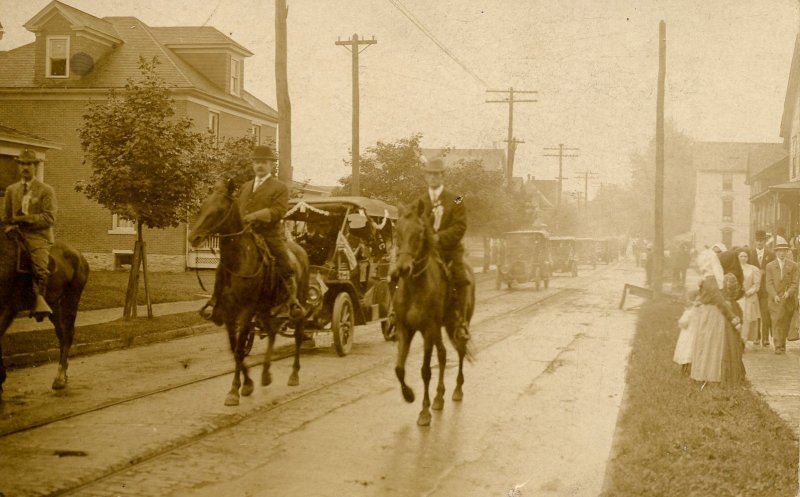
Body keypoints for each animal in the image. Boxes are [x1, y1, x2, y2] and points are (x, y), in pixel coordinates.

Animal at [0, 225, 89, 400]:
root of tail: (79, 255)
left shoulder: (8, 309)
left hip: (71, 299)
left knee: (68, 333)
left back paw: (59, 378)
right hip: (53, 304)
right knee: (62, 334)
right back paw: (63, 374)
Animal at [188, 178, 310, 406]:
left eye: (219, 210)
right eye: (202, 206)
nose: (193, 238)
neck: (239, 260)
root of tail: (300, 250)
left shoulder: (246, 311)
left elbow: (239, 348)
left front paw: (235, 390)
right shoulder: (229, 312)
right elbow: (235, 348)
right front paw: (246, 385)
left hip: (299, 304)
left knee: (298, 335)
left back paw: (294, 375)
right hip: (265, 310)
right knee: (272, 333)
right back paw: (266, 374)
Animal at [390, 200, 472, 424]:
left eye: (419, 232)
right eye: (397, 231)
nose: (402, 269)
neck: (415, 286)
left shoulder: (428, 329)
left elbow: (425, 370)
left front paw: (424, 412)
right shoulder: (405, 329)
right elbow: (399, 368)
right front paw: (409, 395)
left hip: (455, 326)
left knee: (460, 350)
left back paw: (457, 390)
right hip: (440, 328)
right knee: (443, 354)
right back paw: (439, 397)